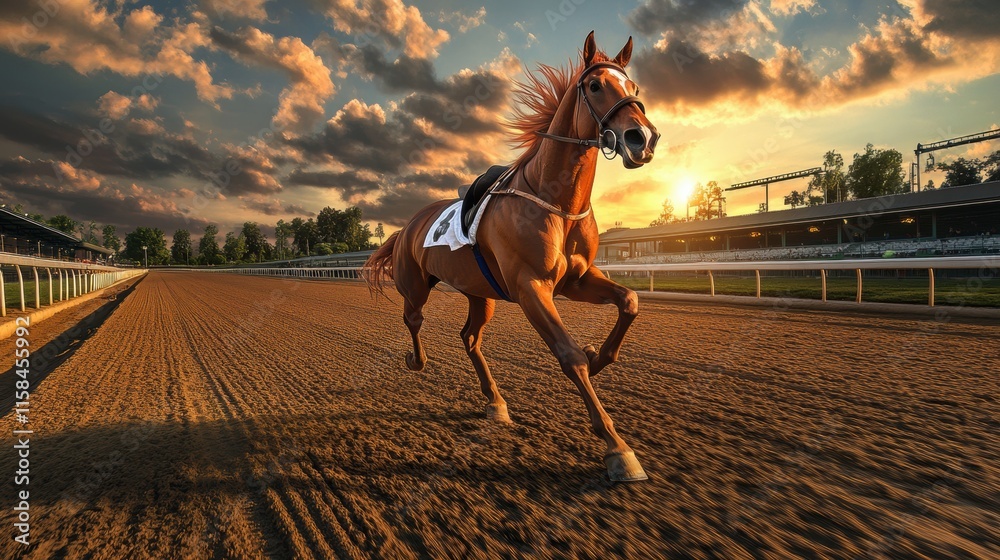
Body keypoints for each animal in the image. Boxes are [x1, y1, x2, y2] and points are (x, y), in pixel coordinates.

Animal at [363, 31, 660, 482]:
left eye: (635, 89)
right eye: (595, 86)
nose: (641, 138)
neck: (553, 199)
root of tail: (407, 225)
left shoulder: (575, 280)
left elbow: (629, 301)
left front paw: (599, 357)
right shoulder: (530, 288)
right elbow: (569, 356)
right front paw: (616, 446)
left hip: (479, 293)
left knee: (470, 337)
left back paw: (495, 401)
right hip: (414, 284)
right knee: (413, 319)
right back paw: (417, 359)